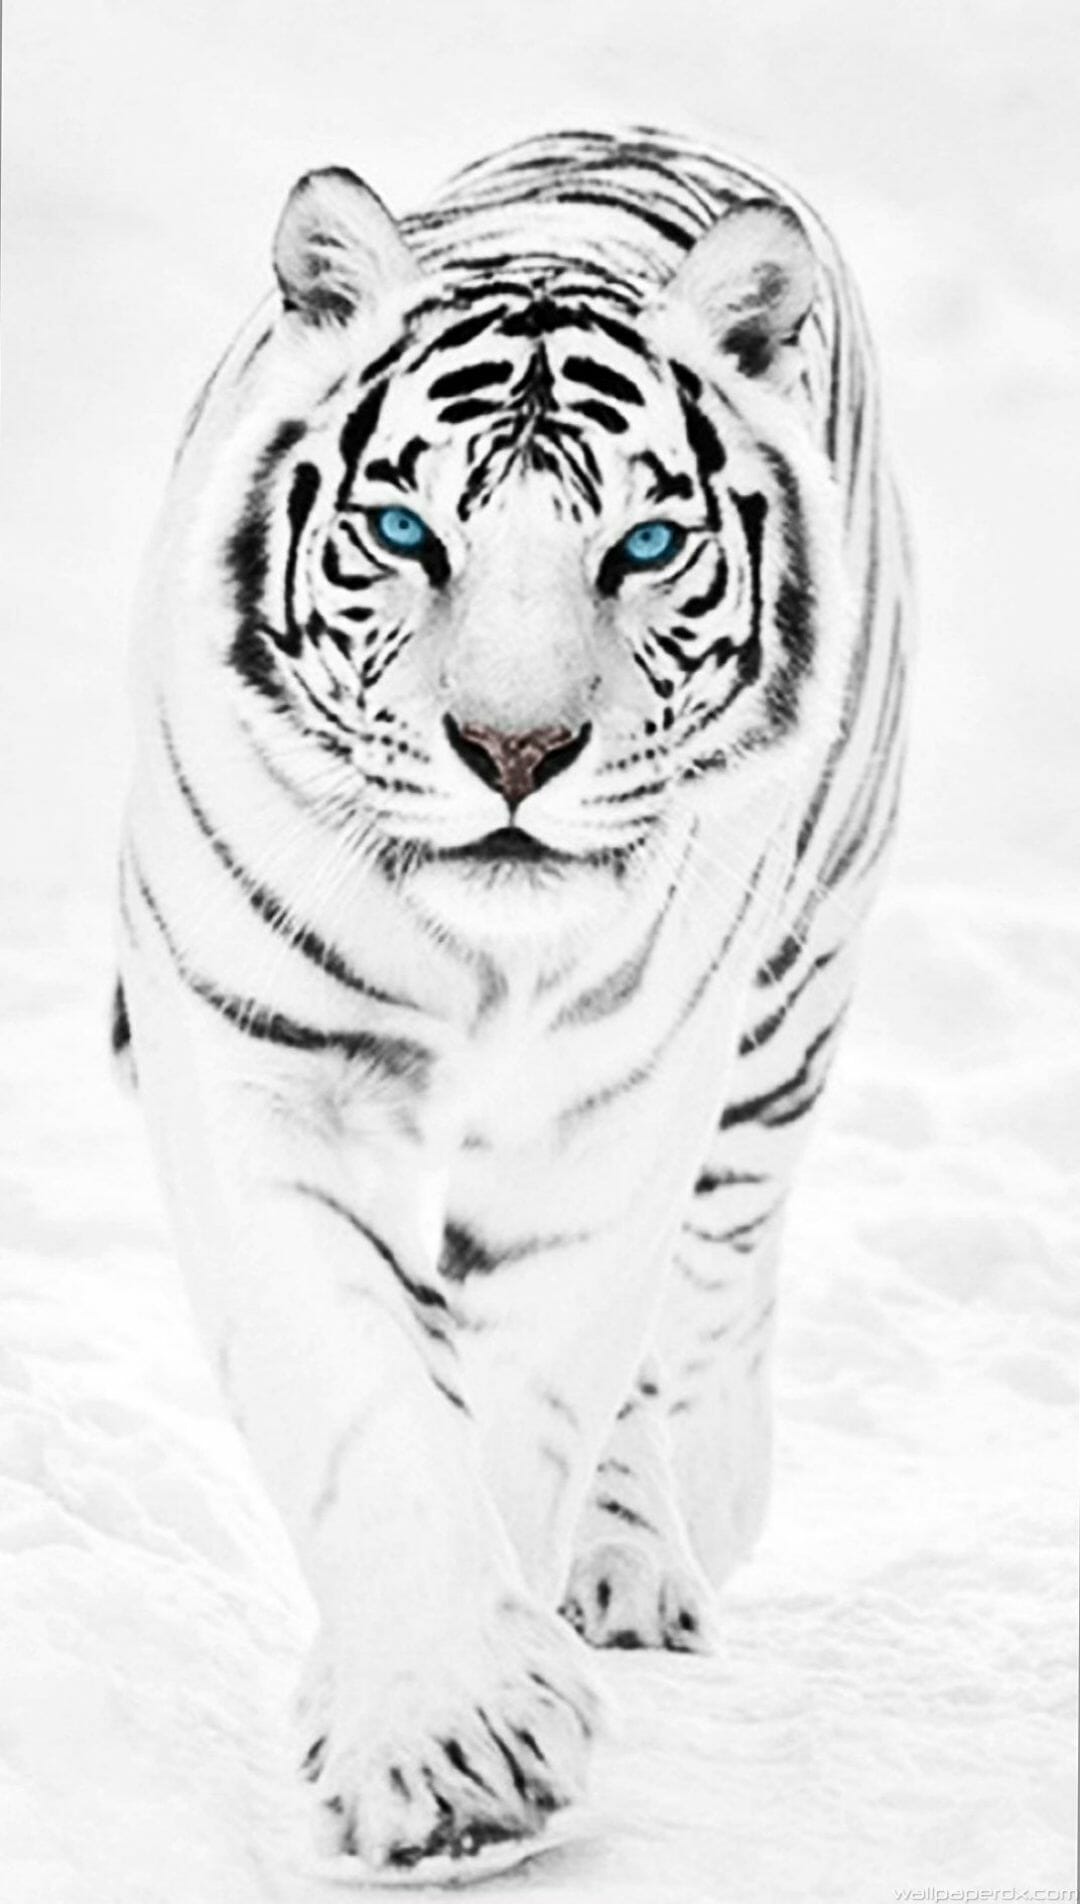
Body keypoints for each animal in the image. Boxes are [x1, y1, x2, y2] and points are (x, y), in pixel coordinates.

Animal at [116, 127, 911, 1879]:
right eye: (408, 535)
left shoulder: (608, 1120)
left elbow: (533, 1390)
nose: (516, 753)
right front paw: (438, 1742)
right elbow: (362, 1394)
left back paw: (676, 1528)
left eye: (646, 549)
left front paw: (455, 1728)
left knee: (714, 1277)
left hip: (789, 992)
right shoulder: (253, 1063)